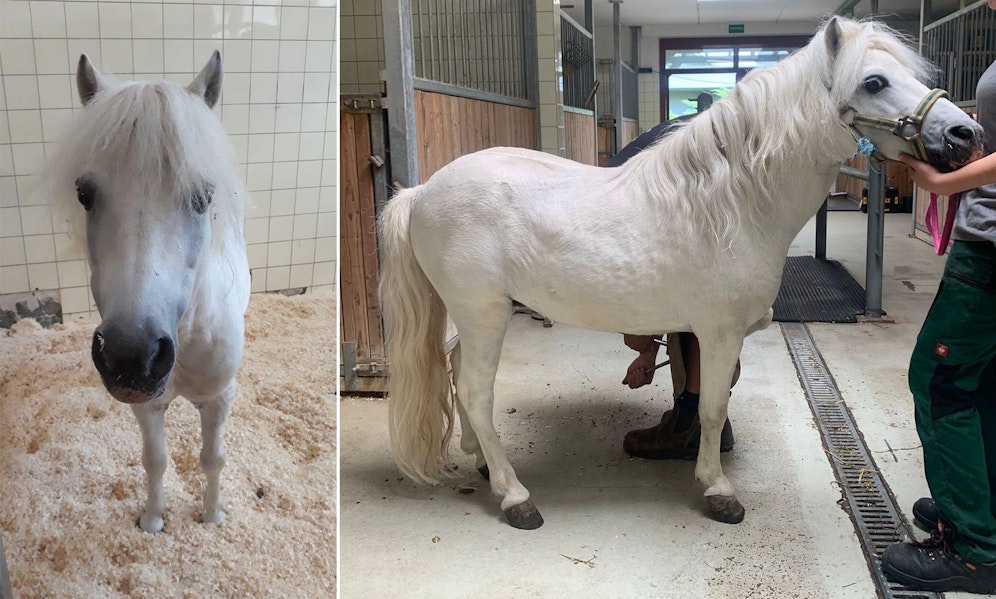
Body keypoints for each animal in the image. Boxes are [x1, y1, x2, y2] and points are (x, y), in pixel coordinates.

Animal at [48, 53, 251, 533]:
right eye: (84, 194)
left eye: (203, 196)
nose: (131, 357)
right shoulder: (147, 407)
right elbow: (155, 461)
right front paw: (154, 521)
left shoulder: (219, 398)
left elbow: (213, 459)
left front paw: (212, 515)